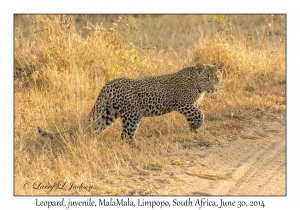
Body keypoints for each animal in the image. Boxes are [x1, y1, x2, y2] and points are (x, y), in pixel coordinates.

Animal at [37, 61, 224, 143]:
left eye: (216, 79)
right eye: (207, 79)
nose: (213, 88)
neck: (198, 86)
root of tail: (108, 85)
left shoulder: (191, 105)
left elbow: (194, 115)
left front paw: (193, 129)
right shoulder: (183, 103)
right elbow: (199, 114)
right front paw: (196, 126)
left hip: (108, 113)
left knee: (97, 127)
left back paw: (89, 141)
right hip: (132, 114)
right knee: (125, 135)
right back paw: (137, 146)